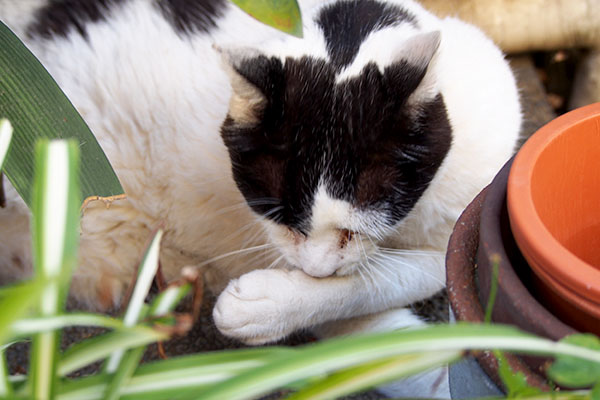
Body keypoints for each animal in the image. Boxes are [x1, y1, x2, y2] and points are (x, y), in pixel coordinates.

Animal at [0, 0, 520, 394]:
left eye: (355, 226)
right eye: (283, 219)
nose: (316, 271)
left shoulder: (460, 228)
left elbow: (389, 282)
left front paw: (269, 304)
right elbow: (374, 283)